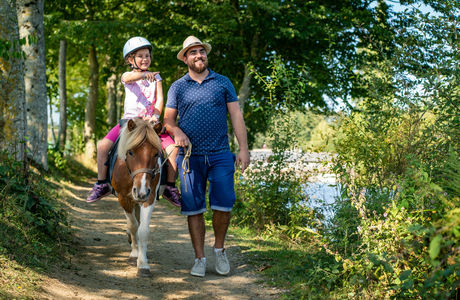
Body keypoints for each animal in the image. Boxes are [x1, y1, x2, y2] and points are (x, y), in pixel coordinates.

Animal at [110, 117, 163, 276]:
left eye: (156, 154)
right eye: (131, 152)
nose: (141, 191)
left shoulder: (149, 197)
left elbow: (143, 229)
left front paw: (143, 264)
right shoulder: (124, 198)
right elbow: (133, 226)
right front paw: (134, 255)